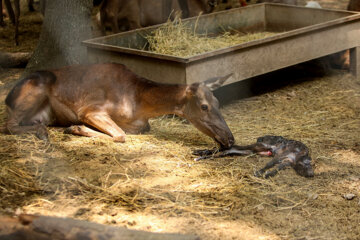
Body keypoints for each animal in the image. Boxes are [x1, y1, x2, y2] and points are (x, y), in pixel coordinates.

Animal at [2, 62, 235, 148]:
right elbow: (120, 135)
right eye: (204, 106)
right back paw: (42, 133)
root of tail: (8, 98)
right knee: (8, 125)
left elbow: (127, 132)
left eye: (218, 102)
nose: (230, 138)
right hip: (35, 89)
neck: (140, 105)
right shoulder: (89, 109)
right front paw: (76, 128)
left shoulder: (141, 125)